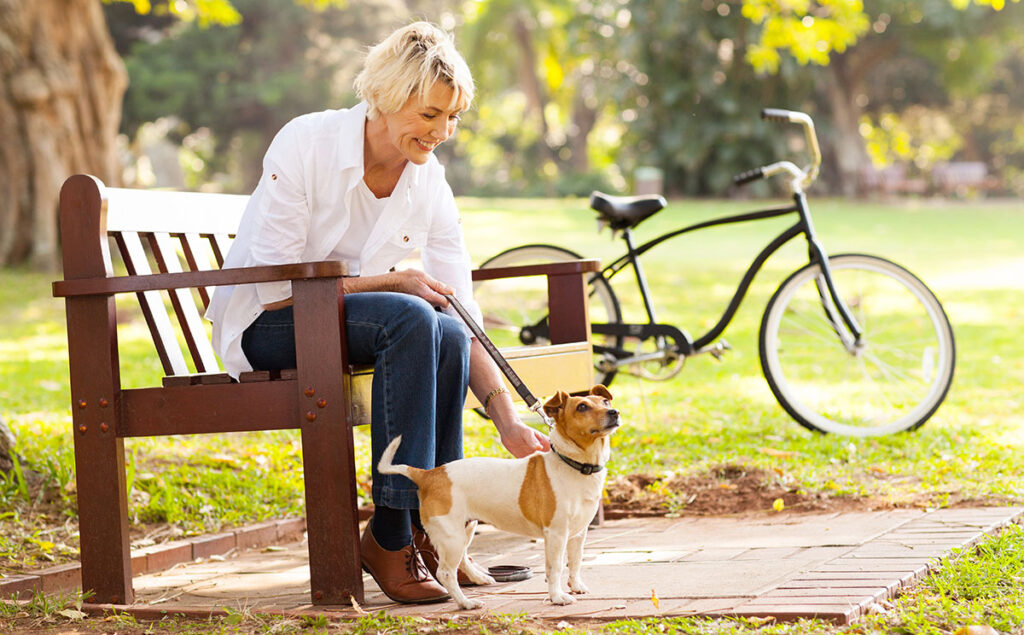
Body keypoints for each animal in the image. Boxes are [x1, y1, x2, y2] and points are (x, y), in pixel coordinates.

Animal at [376, 385, 614, 606]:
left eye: (605, 401)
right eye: (582, 407)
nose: (614, 412)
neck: (574, 465)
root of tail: (429, 474)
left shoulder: (578, 534)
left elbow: (575, 562)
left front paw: (576, 585)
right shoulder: (556, 534)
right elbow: (554, 568)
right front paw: (557, 597)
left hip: (464, 529)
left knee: (462, 560)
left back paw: (479, 578)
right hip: (452, 536)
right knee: (445, 573)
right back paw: (465, 603)